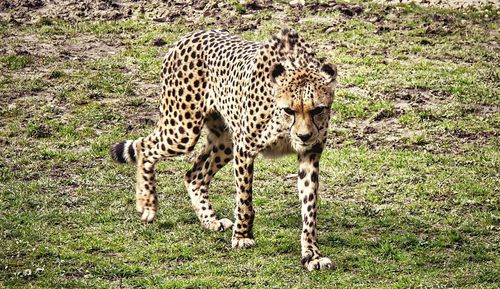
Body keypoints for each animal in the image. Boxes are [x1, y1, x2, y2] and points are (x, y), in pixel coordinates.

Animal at [109, 28, 336, 268]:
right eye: (289, 110)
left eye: (318, 109)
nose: (304, 135)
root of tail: (190, 34)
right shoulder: (245, 149)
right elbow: (244, 200)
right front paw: (242, 236)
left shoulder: (309, 154)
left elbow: (309, 209)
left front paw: (312, 254)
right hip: (183, 130)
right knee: (144, 146)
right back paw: (148, 205)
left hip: (225, 139)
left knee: (193, 175)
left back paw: (210, 221)